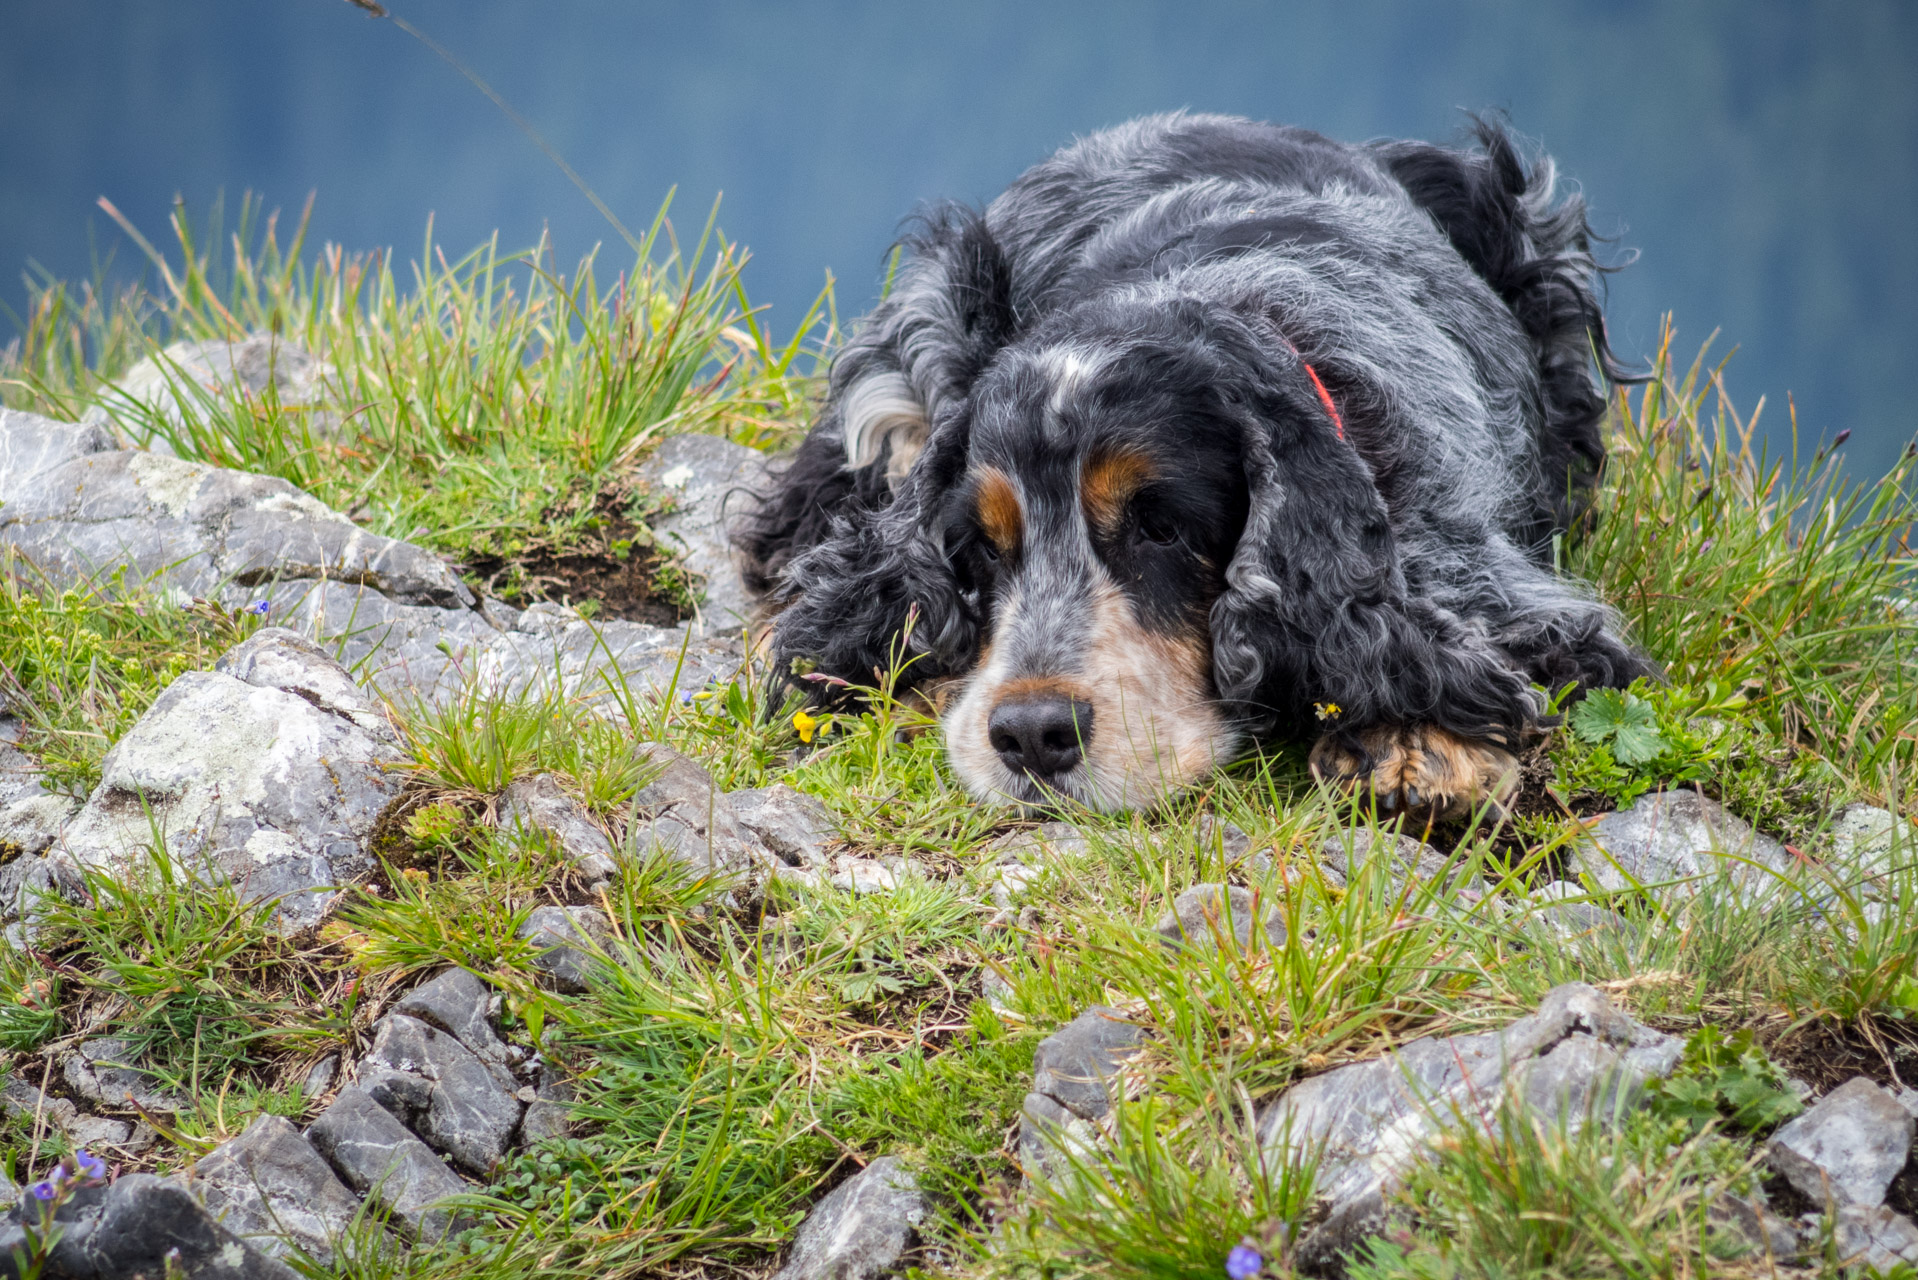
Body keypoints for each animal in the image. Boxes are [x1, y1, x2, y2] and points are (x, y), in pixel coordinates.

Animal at [732, 110, 1649, 817]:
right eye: (981, 549)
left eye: (1162, 528)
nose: (1031, 735)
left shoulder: (1500, 585)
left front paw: (1420, 745)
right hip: (919, 327)